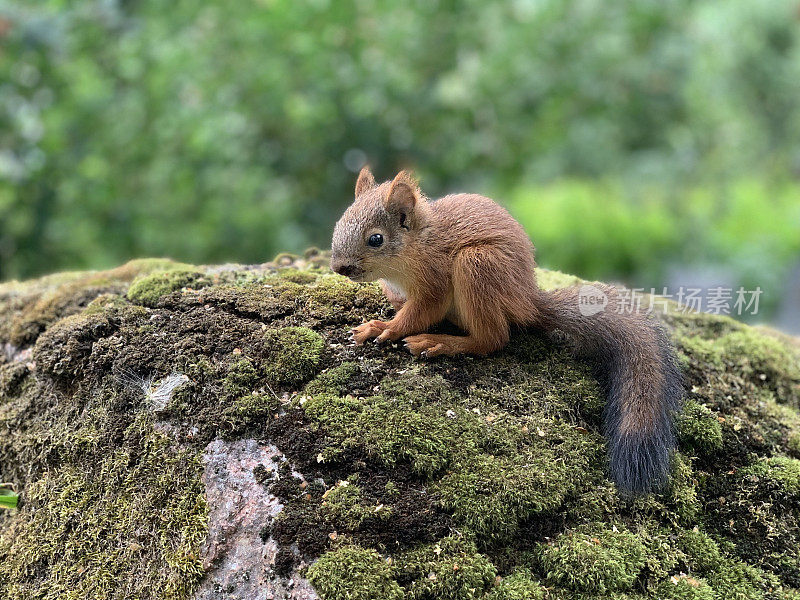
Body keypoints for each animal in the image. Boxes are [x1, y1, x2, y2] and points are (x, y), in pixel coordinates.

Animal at [330, 168, 680, 492]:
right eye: (340, 222)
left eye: (376, 239)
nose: (338, 268)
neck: (414, 248)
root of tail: (529, 301)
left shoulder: (435, 279)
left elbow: (421, 312)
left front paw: (385, 328)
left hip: (476, 264)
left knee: (493, 338)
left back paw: (440, 342)